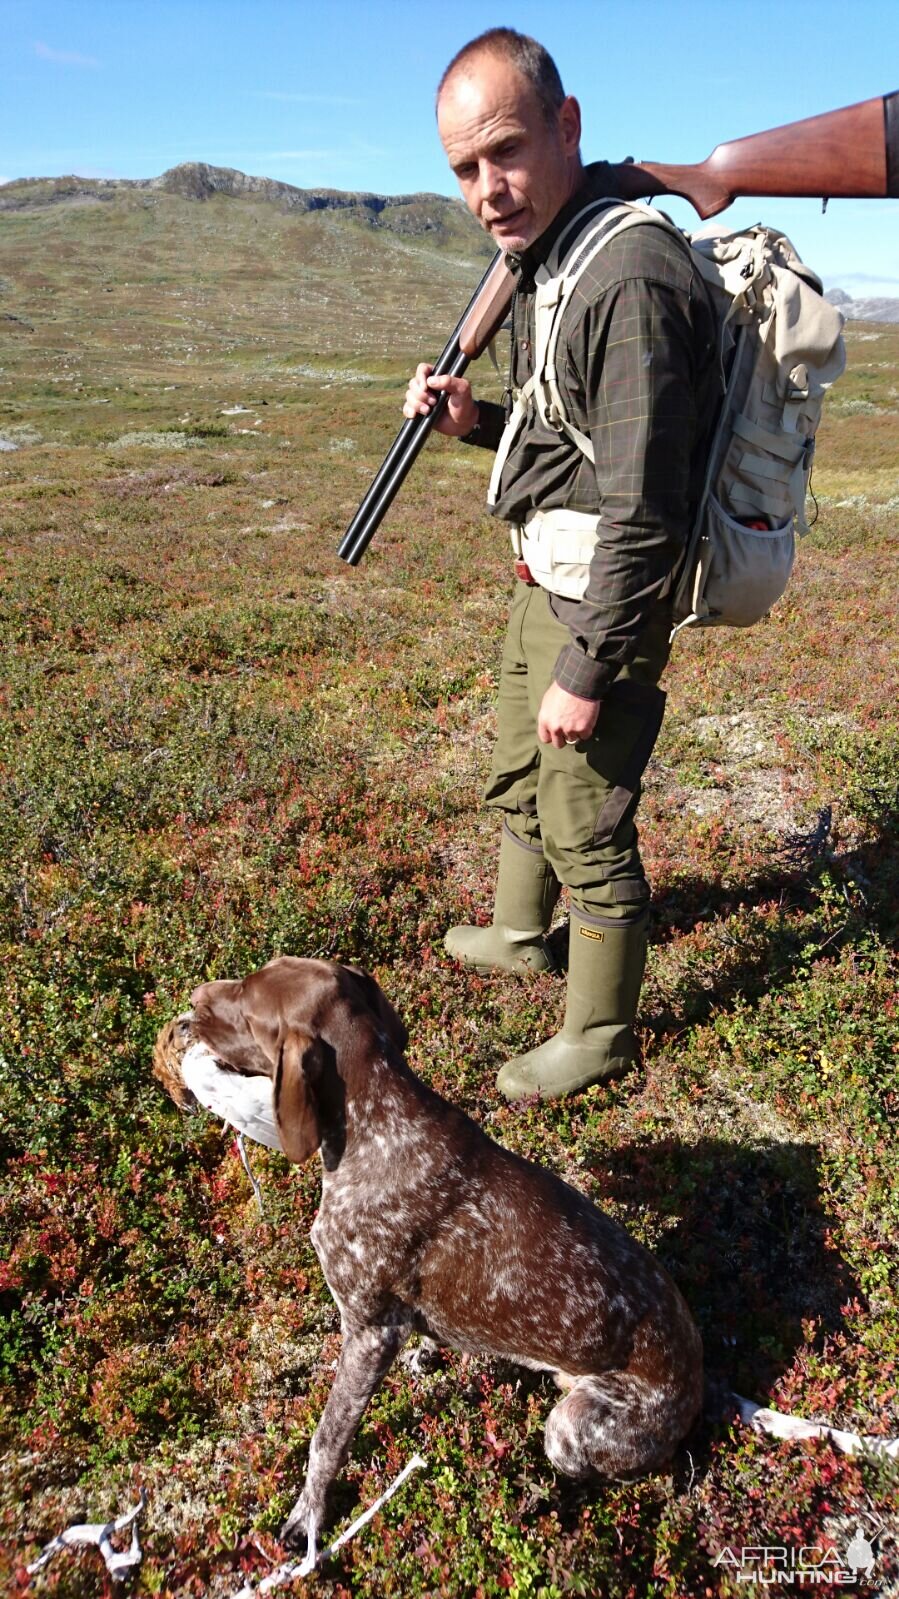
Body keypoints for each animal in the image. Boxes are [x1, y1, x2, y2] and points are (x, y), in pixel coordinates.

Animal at [151, 953, 700, 1567]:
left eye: (246, 1009)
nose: (190, 1003)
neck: (377, 1124)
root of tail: (698, 1384)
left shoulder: (367, 1333)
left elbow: (327, 1440)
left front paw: (307, 1516)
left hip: (573, 1427)